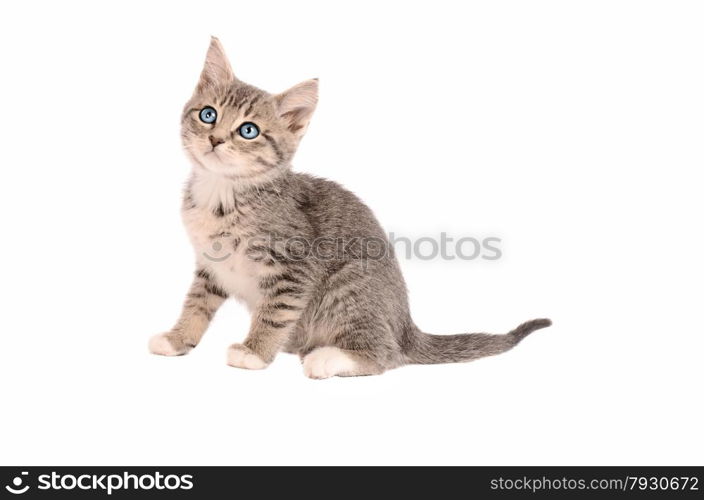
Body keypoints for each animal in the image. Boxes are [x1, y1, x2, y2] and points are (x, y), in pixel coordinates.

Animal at [148, 37, 552, 376]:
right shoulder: (210, 265)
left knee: (385, 355)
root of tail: (405, 327)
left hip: (349, 282)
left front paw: (254, 352)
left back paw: (328, 358)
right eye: (208, 115)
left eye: (248, 130)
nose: (215, 139)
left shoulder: (294, 268)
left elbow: (274, 313)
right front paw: (178, 337)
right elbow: (197, 303)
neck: (224, 194)